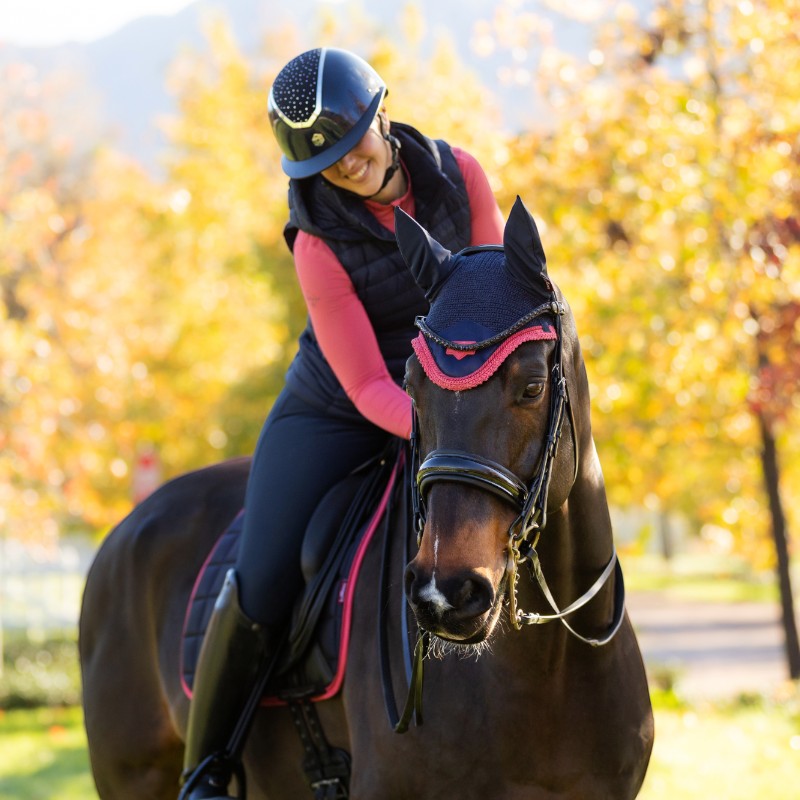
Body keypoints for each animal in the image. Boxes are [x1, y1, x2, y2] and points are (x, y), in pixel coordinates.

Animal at [79, 197, 653, 799]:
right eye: (412, 386)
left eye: (532, 386)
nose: (446, 592)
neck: (548, 668)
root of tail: (126, 529)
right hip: (133, 774)